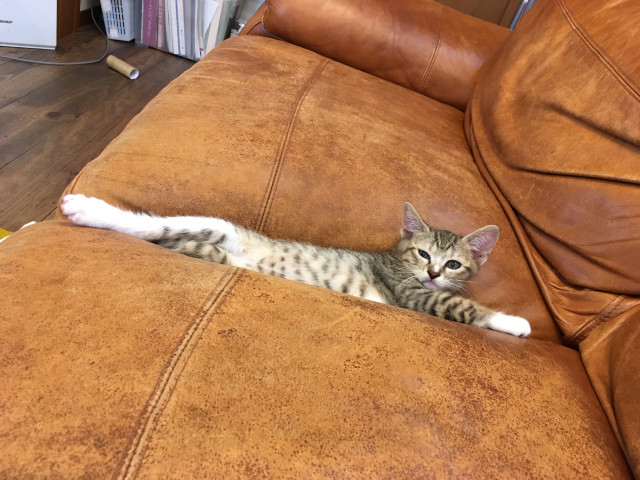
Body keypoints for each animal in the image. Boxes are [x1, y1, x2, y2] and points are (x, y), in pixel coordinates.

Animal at [60, 194, 531, 337]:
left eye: (452, 264)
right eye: (423, 254)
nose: (433, 273)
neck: (398, 260)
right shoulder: (412, 295)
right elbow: (462, 308)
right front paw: (515, 322)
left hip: (216, 251)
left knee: (160, 235)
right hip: (215, 227)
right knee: (153, 223)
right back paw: (85, 207)